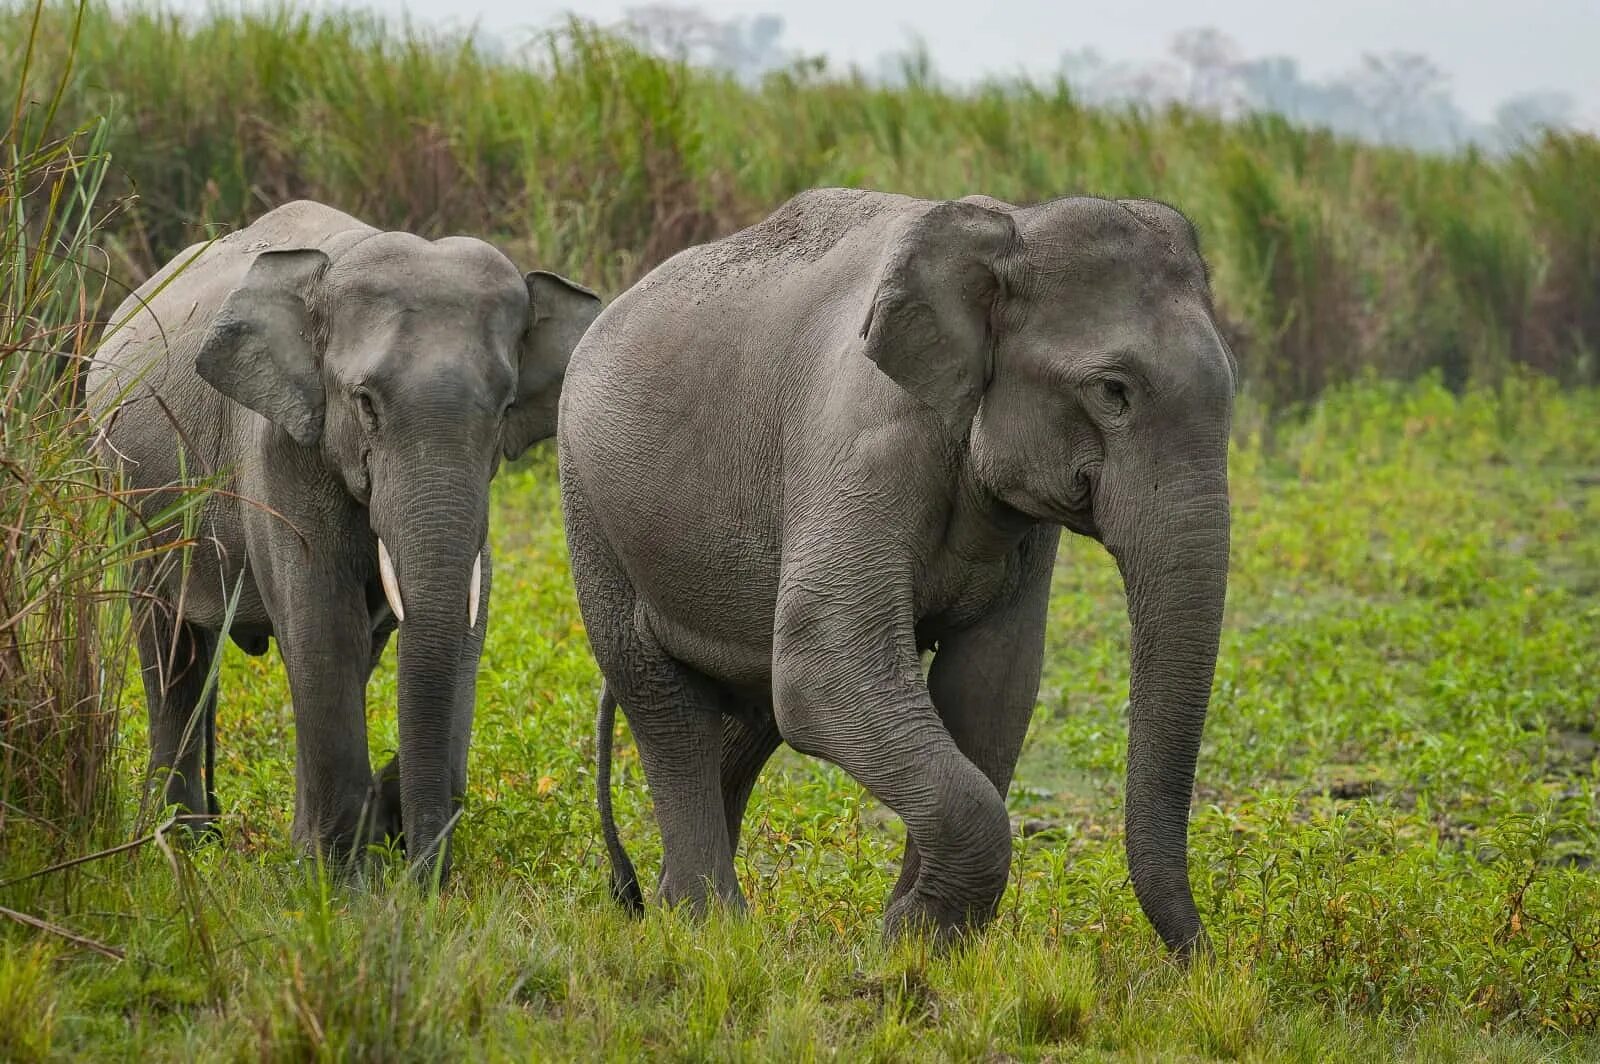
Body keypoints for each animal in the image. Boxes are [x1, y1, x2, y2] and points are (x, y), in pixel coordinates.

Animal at [89, 201, 601, 876]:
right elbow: (322, 622)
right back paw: (184, 843)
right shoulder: (277, 446)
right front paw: (335, 876)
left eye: (505, 406)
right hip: (129, 493)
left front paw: (339, 852)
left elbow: (451, 617)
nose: (421, 878)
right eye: (365, 403)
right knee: (170, 649)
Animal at [563, 186, 1235, 947]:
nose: (1202, 958)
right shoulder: (863, 438)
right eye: (1113, 391)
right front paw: (910, 933)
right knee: (663, 699)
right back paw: (709, 926)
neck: (1011, 227)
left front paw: (916, 940)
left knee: (748, 711)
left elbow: (992, 686)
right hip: (591, 507)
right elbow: (824, 665)